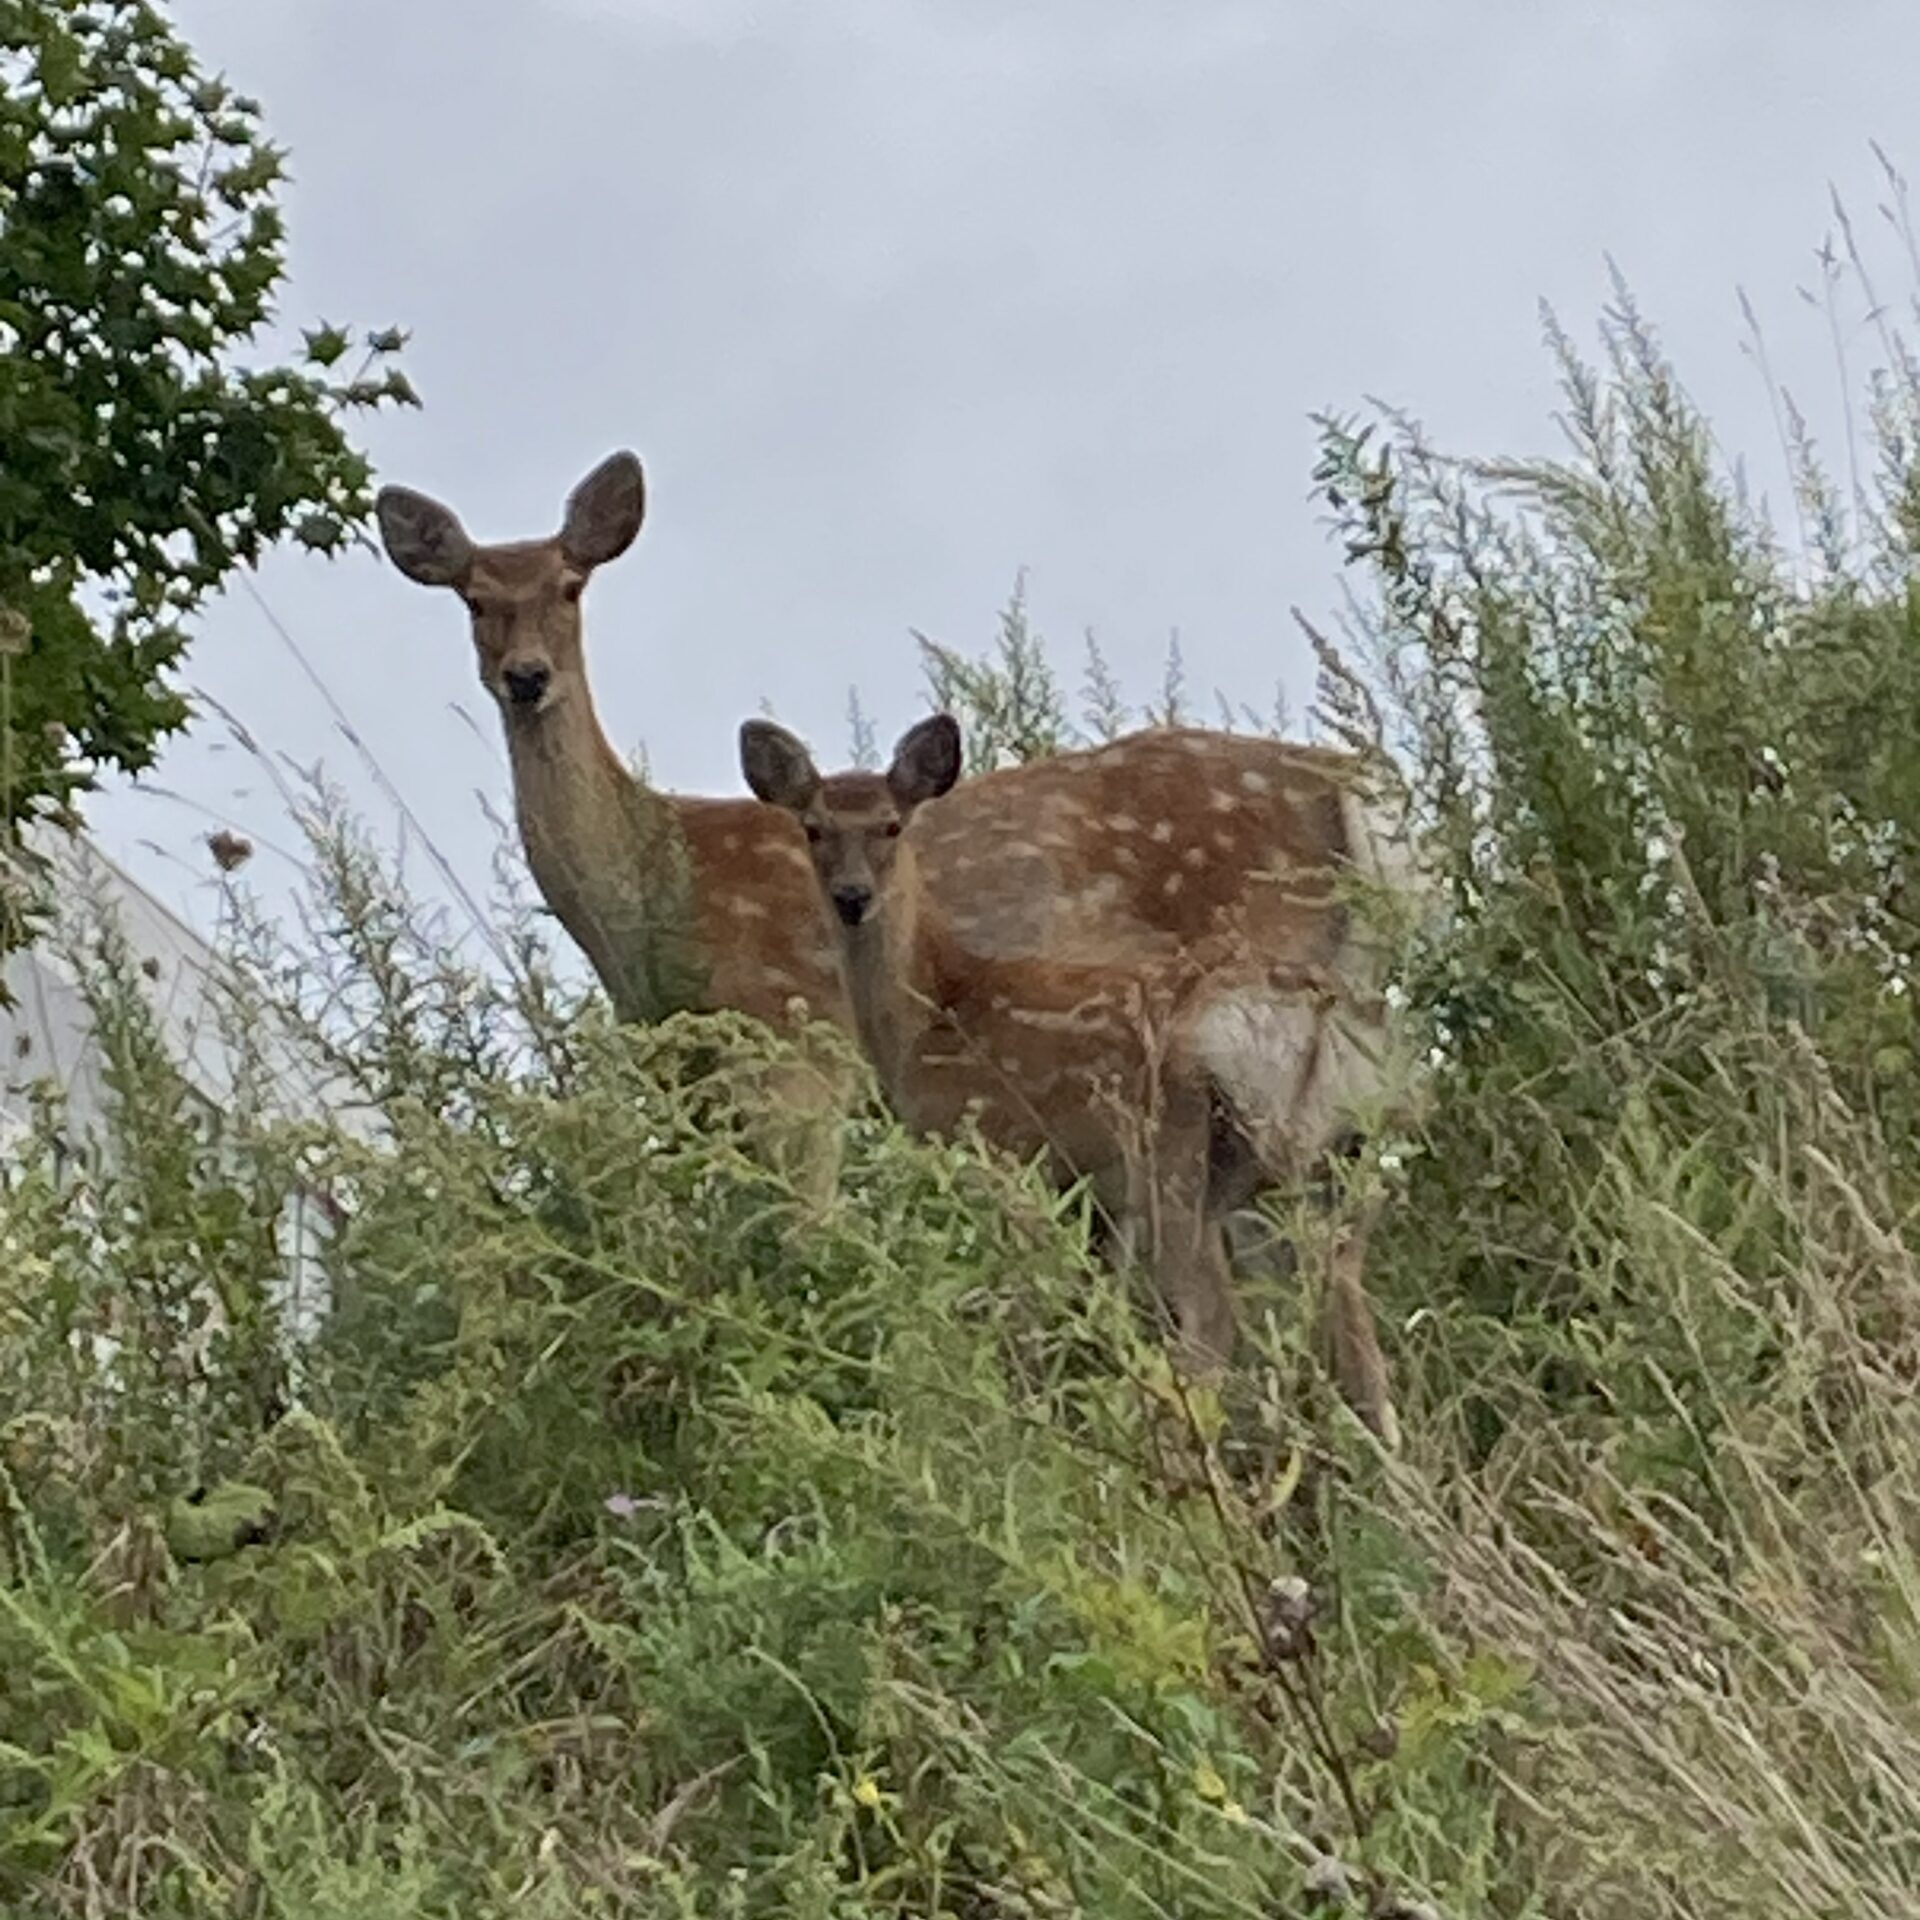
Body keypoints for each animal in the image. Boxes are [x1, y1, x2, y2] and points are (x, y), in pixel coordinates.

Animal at [739, 710, 1415, 1446]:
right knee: (1347, 1321)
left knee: (1217, 1312)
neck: (936, 1007)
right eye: (813, 827)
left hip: (1176, 1154)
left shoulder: (1003, 1149)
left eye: (893, 825)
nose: (852, 897)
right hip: (1326, 1159)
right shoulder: (1088, 1186)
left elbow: (1022, 1309)